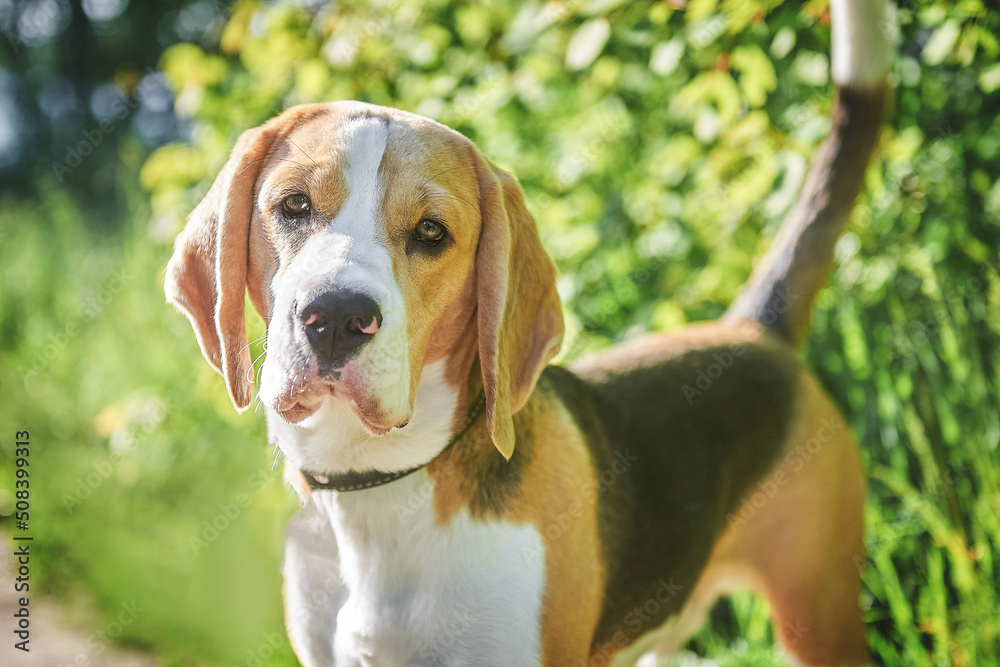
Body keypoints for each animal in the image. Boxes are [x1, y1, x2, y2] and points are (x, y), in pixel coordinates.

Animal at [164, 2, 892, 664]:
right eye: (293, 205)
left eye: (432, 232)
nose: (336, 317)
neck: (378, 488)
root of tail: (755, 329)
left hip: (817, 615)